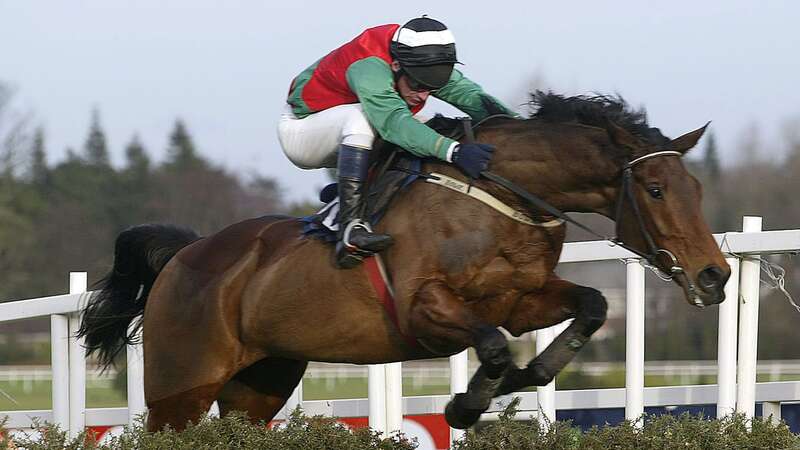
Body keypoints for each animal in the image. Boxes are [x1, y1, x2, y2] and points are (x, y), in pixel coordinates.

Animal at [78, 92, 728, 432]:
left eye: (696, 188)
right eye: (656, 190)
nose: (714, 274)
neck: (499, 196)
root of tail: (183, 256)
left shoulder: (520, 300)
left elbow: (589, 305)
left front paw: (527, 376)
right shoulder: (422, 308)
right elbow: (492, 344)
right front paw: (467, 403)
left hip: (258, 385)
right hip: (180, 390)